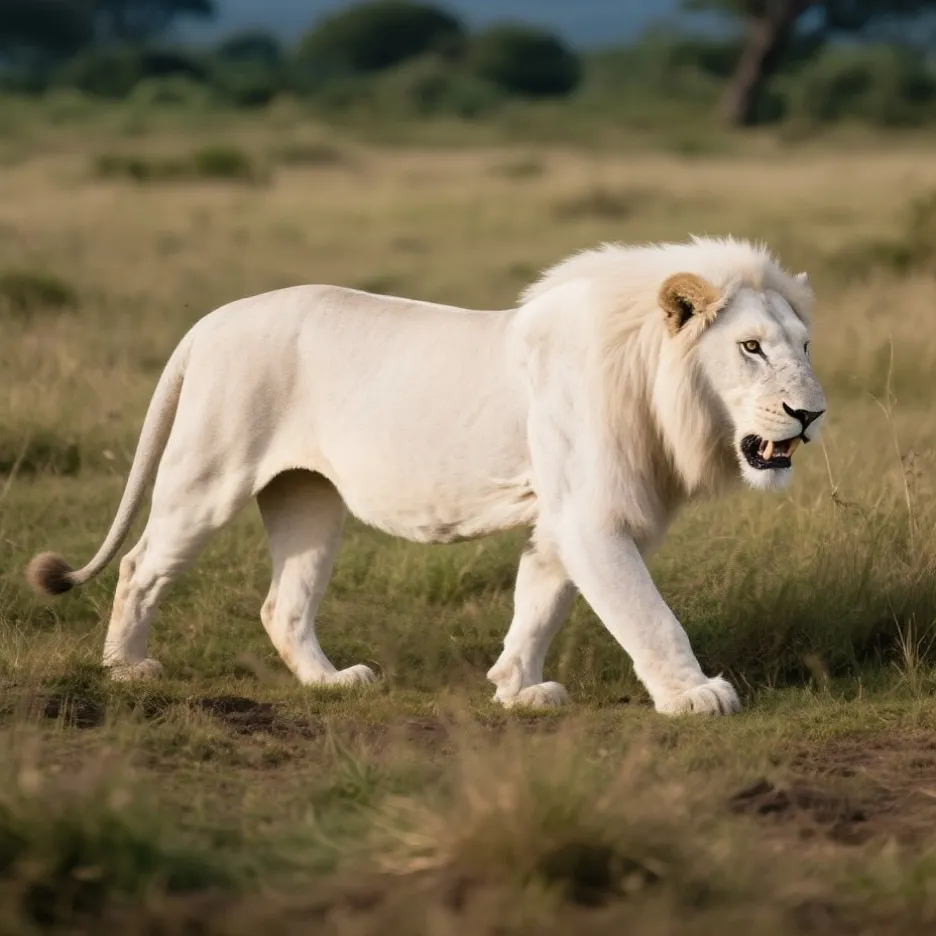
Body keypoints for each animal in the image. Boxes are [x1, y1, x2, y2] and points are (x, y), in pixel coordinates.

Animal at [26, 235, 826, 716]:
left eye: (805, 345)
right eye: (751, 347)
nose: (810, 413)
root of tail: (210, 320)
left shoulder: (560, 520)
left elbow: (539, 603)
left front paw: (516, 689)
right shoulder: (593, 517)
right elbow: (646, 614)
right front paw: (695, 695)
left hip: (308, 498)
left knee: (282, 605)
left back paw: (332, 682)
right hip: (208, 475)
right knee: (139, 566)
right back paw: (125, 670)